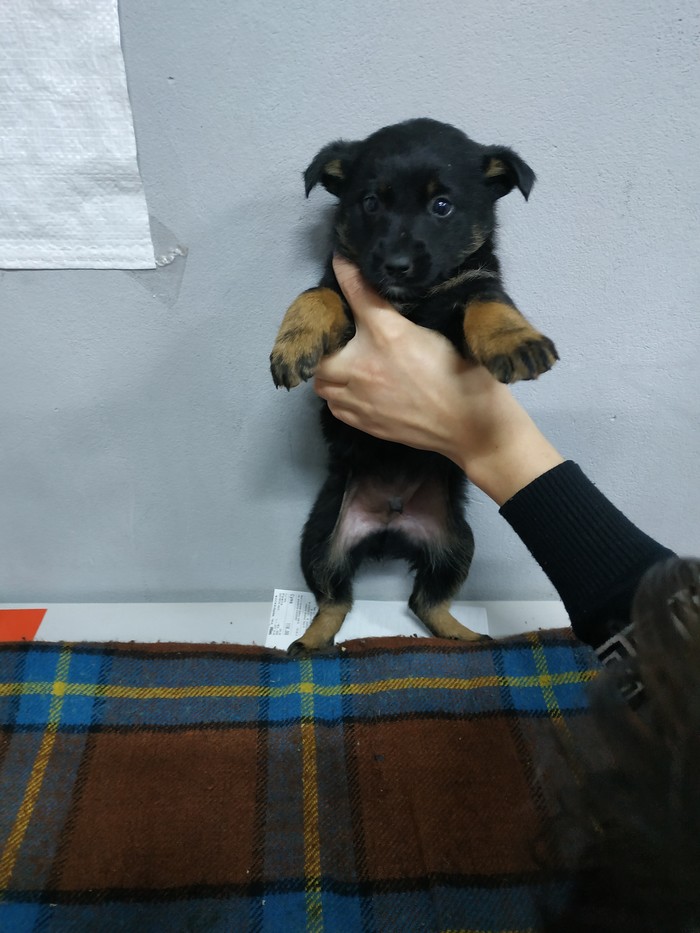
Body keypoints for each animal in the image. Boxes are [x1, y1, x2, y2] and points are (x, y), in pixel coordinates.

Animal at [270, 118, 558, 654]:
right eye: (370, 203)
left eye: (441, 206)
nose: (397, 265)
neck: (409, 299)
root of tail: (390, 526)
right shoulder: (340, 286)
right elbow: (314, 295)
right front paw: (294, 345)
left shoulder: (472, 283)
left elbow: (489, 303)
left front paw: (516, 339)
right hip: (320, 536)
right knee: (335, 600)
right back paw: (311, 643)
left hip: (457, 543)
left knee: (427, 601)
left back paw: (466, 636)